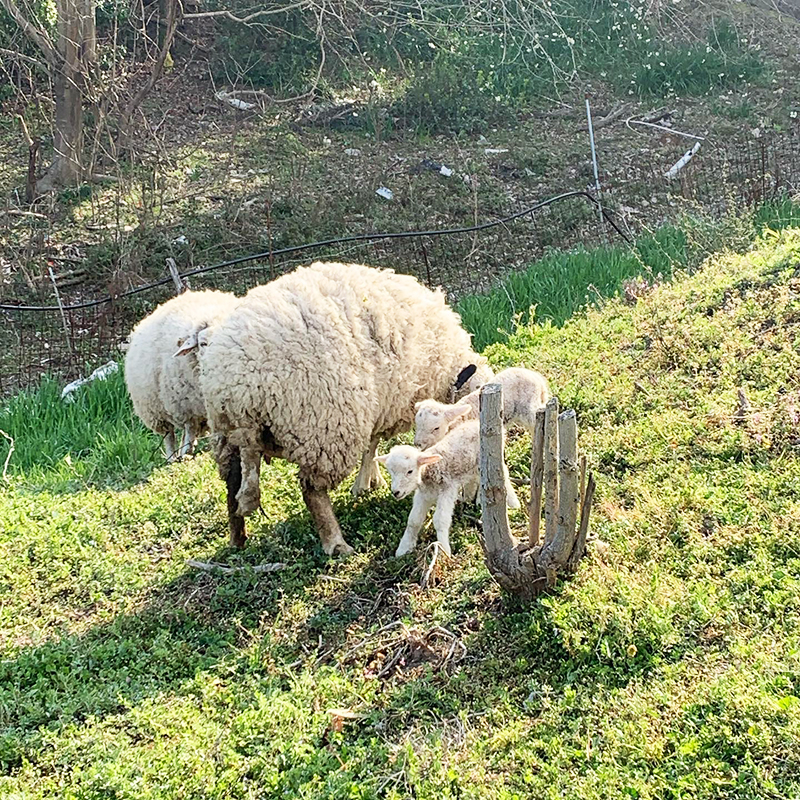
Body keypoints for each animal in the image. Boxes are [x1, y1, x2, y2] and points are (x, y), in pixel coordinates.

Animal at [123, 290, 239, 460]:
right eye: (203, 343)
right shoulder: (186, 406)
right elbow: (189, 428)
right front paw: (186, 452)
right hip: (157, 409)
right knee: (169, 434)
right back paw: (173, 457)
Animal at [189, 262, 494, 556]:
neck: (449, 369)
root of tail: (237, 383)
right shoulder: (380, 404)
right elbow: (372, 444)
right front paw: (366, 483)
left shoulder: (378, 403)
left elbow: (372, 444)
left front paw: (369, 480)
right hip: (321, 427)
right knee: (312, 490)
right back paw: (336, 543)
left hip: (226, 433)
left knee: (233, 482)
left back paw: (237, 539)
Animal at [374, 418, 520, 556]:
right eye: (390, 472)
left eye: (410, 471)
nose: (396, 492)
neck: (429, 473)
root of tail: (476, 423)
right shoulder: (423, 495)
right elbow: (413, 520)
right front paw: (403, 548)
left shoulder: (447, 489)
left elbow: (440, 520)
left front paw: (443, 551)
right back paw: (470, 498)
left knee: (503, 475)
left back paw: (514, 504)